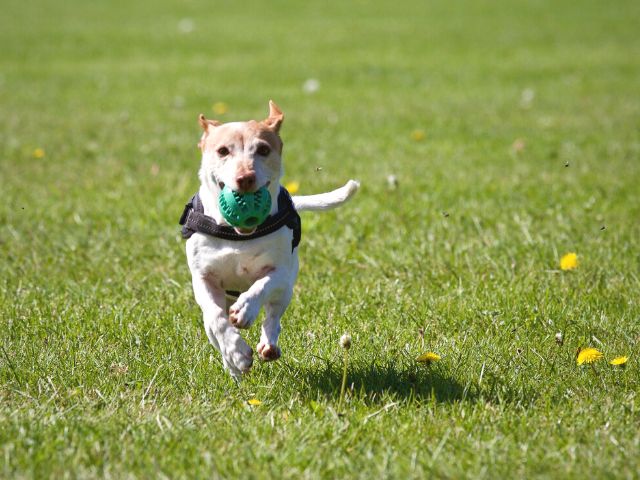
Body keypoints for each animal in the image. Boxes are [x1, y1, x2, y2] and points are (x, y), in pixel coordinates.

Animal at [180, 102, 360, 378]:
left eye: (263, 149)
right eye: (222, 151)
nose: (245, 178)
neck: (237, 235)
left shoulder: (281, 271)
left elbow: (262, 286)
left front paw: (245, 310)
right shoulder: (203, 278)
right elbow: (217, 319)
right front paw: (237, 353)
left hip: (286, 289)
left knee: (273, 315)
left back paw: (268, 344)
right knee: (214, 327)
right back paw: (233, 367)